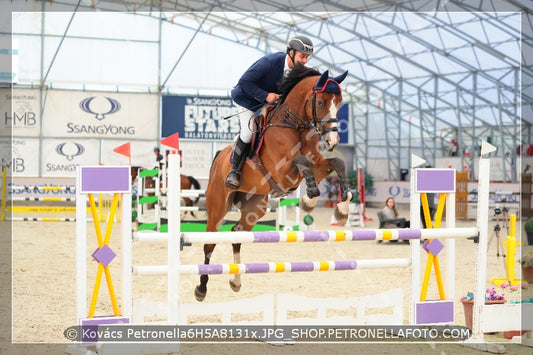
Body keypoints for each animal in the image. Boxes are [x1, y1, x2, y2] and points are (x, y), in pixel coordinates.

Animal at [193, 65, 352, 302]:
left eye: (339, 103)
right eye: (321, 103)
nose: (332, 141)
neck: (294, 125)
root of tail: (220, 156)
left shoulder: (317, 164)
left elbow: (337, 163)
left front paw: (339, 208)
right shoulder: (282, 172)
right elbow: (302, 161)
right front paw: (310, 198)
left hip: (255, 207)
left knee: (236, 233)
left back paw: (235, 281)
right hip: (218, 206)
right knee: (209, 243)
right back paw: (201, 288)